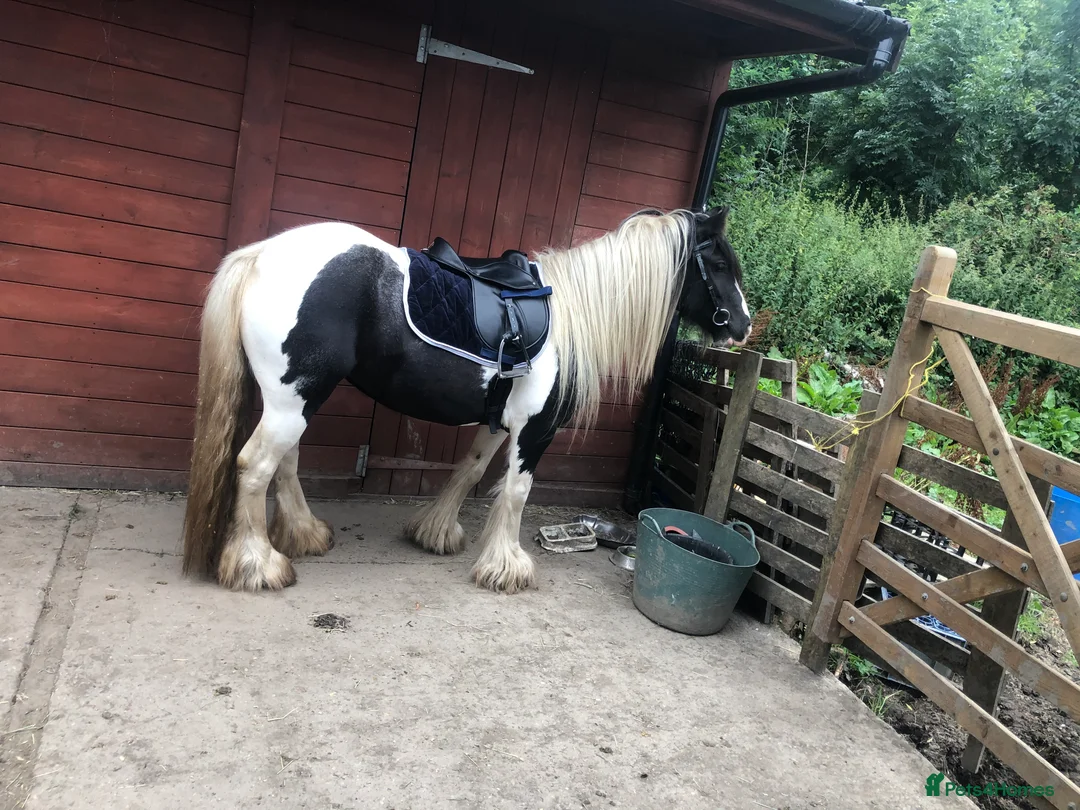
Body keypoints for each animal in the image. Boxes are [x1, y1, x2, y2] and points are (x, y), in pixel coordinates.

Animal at [180, 205, 752, 594]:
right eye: (721, 262)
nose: (744, 325)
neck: (570, 316)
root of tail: (260, 256)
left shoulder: (499, 421)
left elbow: (471, 470)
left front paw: (435, 532)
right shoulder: (535, 430)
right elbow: (517, 492)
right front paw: (507, 568)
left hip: (294, 399)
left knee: (285, 462)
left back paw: (303, 534)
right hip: (292, 399)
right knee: (255, 465)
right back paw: (258, 565)